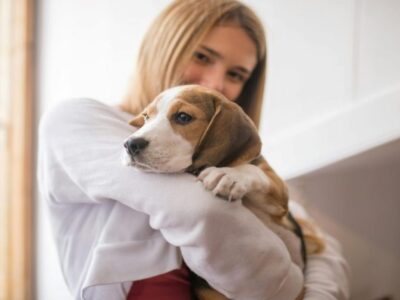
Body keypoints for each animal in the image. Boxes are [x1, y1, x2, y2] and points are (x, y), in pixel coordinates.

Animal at [121, 84, 322, 300]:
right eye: (146, 117)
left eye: (183, 117)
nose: (130, 144)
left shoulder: (280, 201)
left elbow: (252, 170)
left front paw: (229, 175)